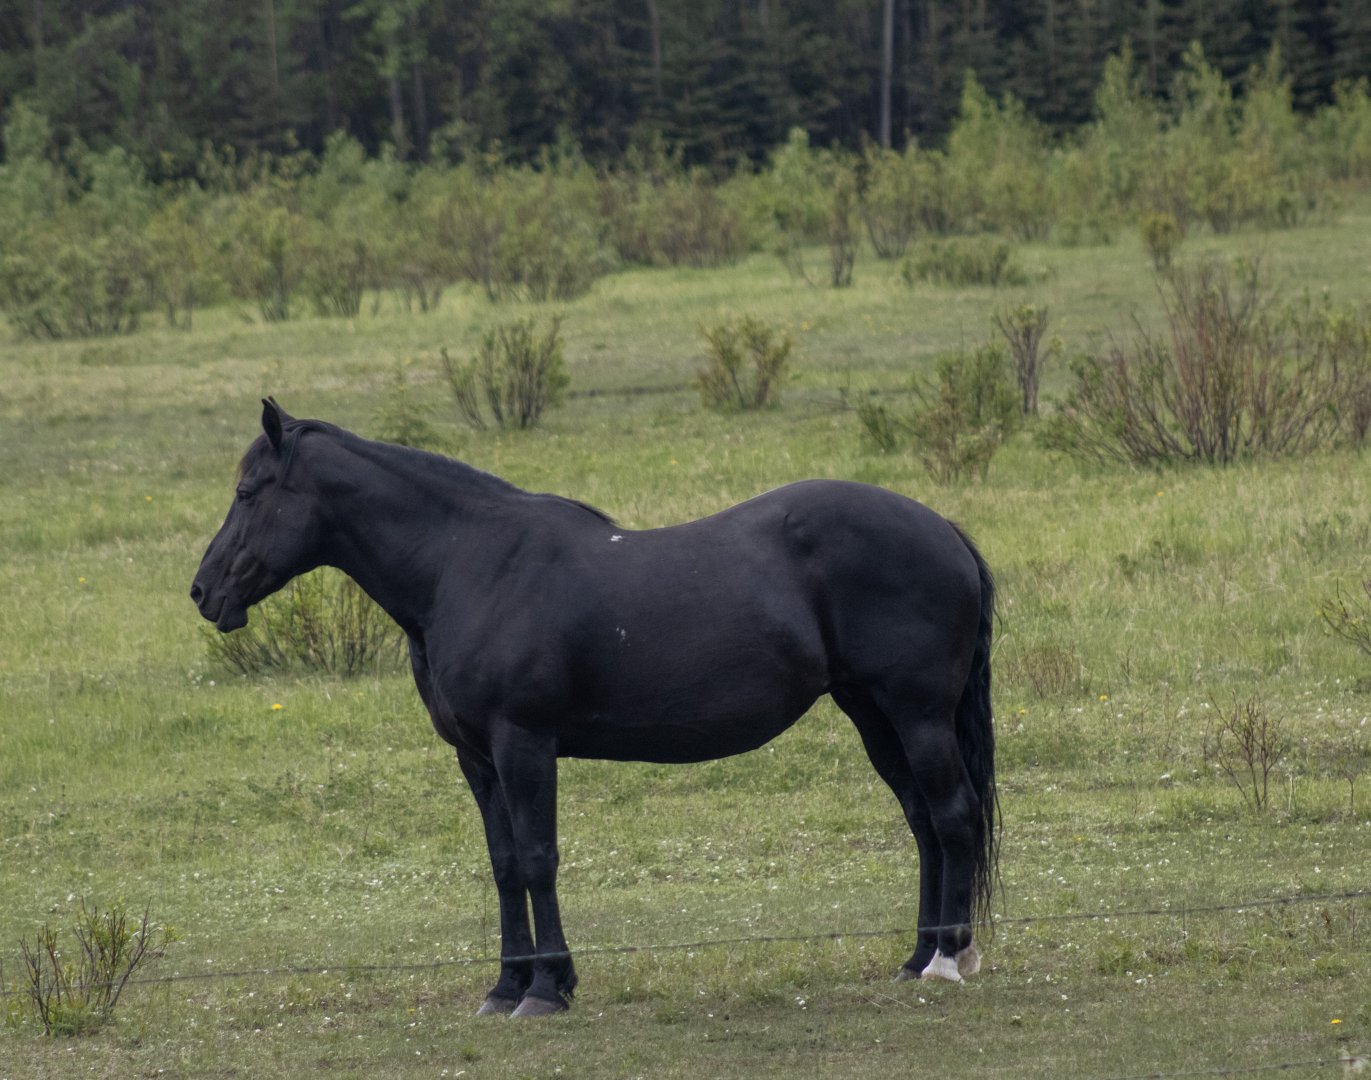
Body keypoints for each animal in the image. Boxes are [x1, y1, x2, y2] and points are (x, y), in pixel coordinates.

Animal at [191, 399, 999, 1017]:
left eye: (248, 491)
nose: (203, 591)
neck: (468, 565)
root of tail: (946, 532)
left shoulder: (523, 746)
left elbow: (538, 859)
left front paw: (546, 989)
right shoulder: (476, 759)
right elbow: (503, 866)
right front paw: (506, 985)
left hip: (917, 715)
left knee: (953, 815)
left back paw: (947, 960)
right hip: (874, 716)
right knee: (923, 823)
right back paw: (917, 955)